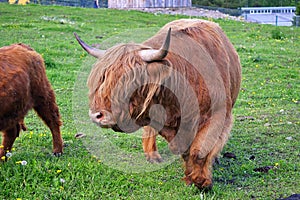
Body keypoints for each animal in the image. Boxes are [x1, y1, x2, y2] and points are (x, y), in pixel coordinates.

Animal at [74, 19, 241, 190]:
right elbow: (183, 149)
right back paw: (152, 156)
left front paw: (201, 181)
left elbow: (199, 151)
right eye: (102, 80)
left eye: (130, 83)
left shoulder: (218, 116)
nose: (96, 115)